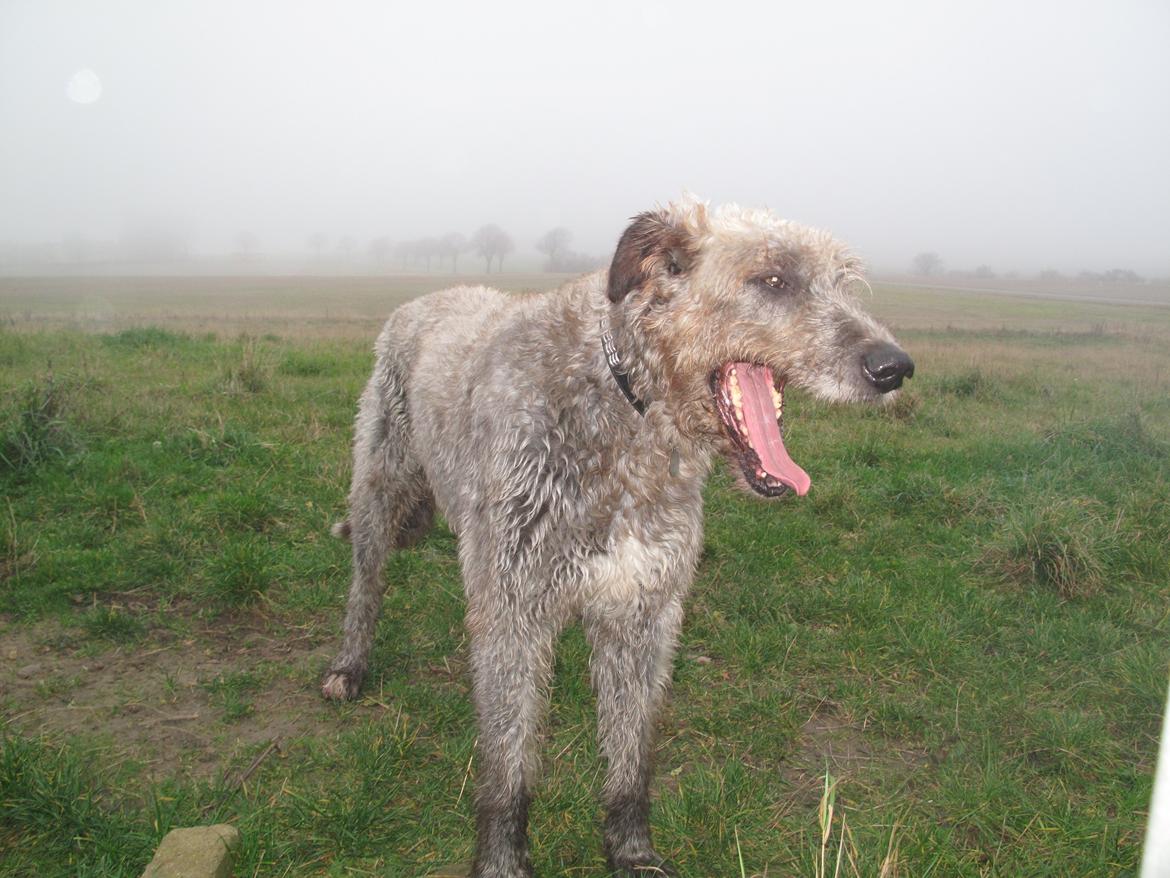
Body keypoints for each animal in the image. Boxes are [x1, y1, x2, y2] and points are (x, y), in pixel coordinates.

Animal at [320, 195, 912, 875]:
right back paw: (349, 665)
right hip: (379, 481)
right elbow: (508, 759)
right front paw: (502, 857)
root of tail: (421, 301)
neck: (625, 406)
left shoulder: (643, 607)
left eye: (843, 281)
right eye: (772, 280)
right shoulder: (517, 604)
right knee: (366, 582)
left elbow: (632, 750)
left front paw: (631, 851)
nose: (894, 366)